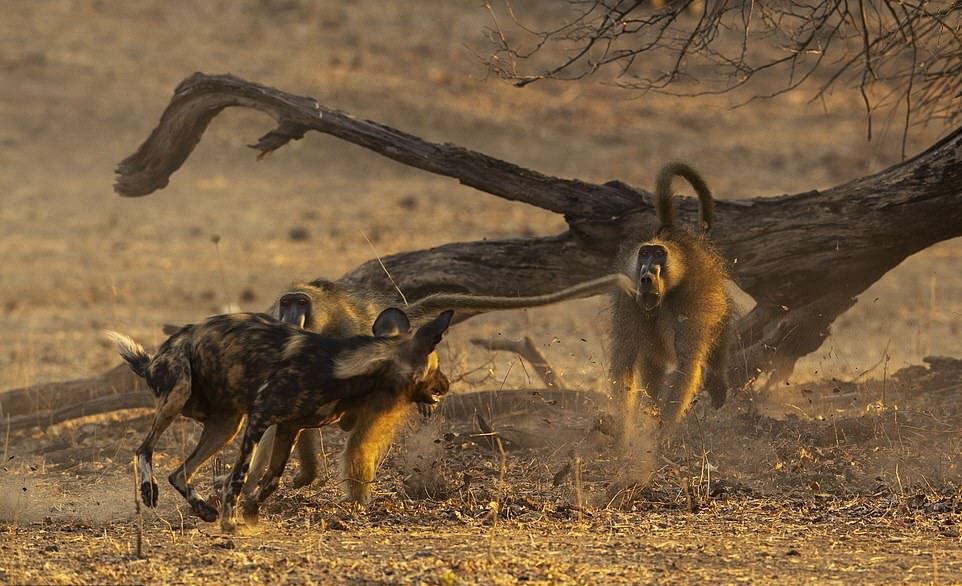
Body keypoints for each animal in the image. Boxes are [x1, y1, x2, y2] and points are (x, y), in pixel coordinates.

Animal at [107, 306, 452, 524]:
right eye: (435, 369)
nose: (447, 385)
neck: (343, 368)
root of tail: (160, 352)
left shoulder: (290, 428)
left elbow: (273, 478)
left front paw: (250, 512)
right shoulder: (260, 419)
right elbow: (240, 475)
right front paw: (233, 520)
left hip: (227, 426)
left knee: (179, 473)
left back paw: (204, 510)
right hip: (179, 395)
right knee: (144, 449)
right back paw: (149, 490)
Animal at [608, 162, 736, 436]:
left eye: (658, 256)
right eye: (644, 254)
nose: (646, 276)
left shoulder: (690, 300)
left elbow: (686, 366)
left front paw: (663, 430)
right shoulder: (629, 300)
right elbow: (625, 361)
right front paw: (623, 429)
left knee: (721, 324)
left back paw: (717, 377)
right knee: (653, 366)